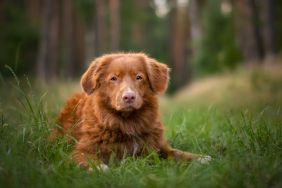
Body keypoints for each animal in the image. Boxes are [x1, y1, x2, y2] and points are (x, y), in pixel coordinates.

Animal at [51, 52, 212, 170]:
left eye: (139, 77)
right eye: (113, 78)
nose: (129, 97)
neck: (128, 121)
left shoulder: (158, 147)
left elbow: (179, 153)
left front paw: (201, 158)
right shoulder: (80, 150)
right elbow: (89, 160)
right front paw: (101, 169)